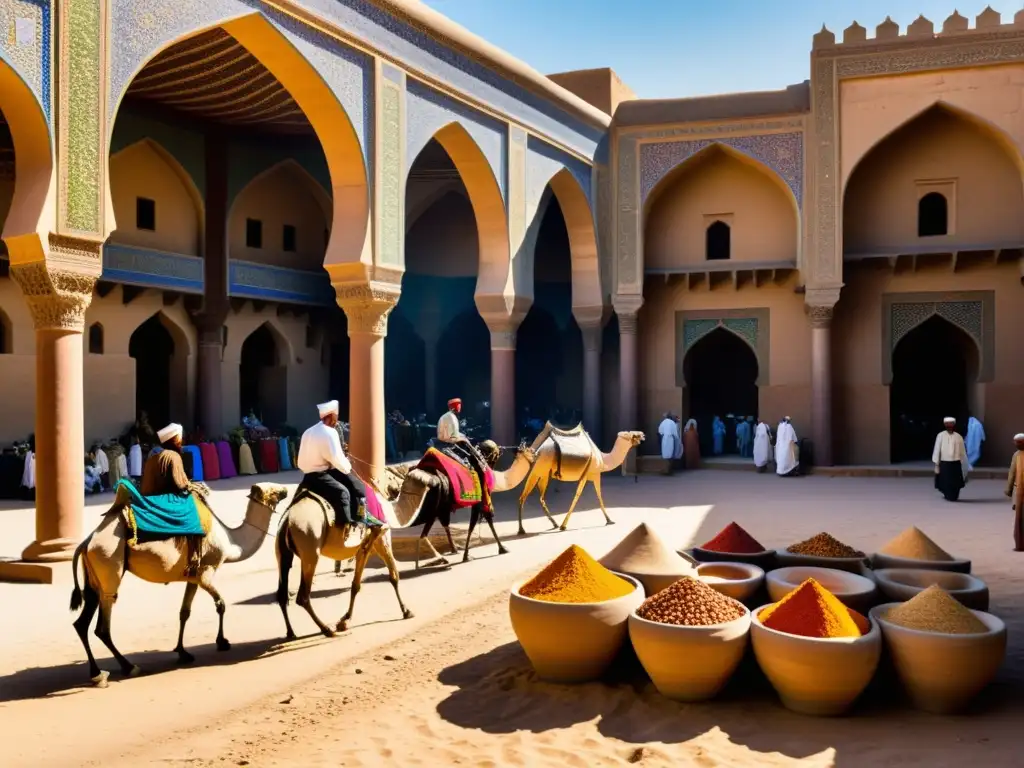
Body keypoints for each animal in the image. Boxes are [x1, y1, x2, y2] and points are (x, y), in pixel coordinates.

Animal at [69, 483, 290, 688]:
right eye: (271, 490)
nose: (285, 490)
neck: (230, 542)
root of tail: (86, 543)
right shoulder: (206, 572)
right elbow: (221, 605)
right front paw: (222, 642)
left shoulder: (192, 577)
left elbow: (184, 612)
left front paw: (182, 652)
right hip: (109, 565)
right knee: (102, 627)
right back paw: (128, 667)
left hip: (94, 579)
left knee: (82, 623)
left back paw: (97, 674)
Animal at [389, 438, 536, 573]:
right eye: (527, 449)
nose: (515, 449)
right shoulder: (481, 500)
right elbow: (481, 522)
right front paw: (502, 549)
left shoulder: (446, 509)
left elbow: (454, 525)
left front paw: (460, 552)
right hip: (433, 507)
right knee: (423, 534)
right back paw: (436, 560)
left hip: (437, 507)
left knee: (432, 529)